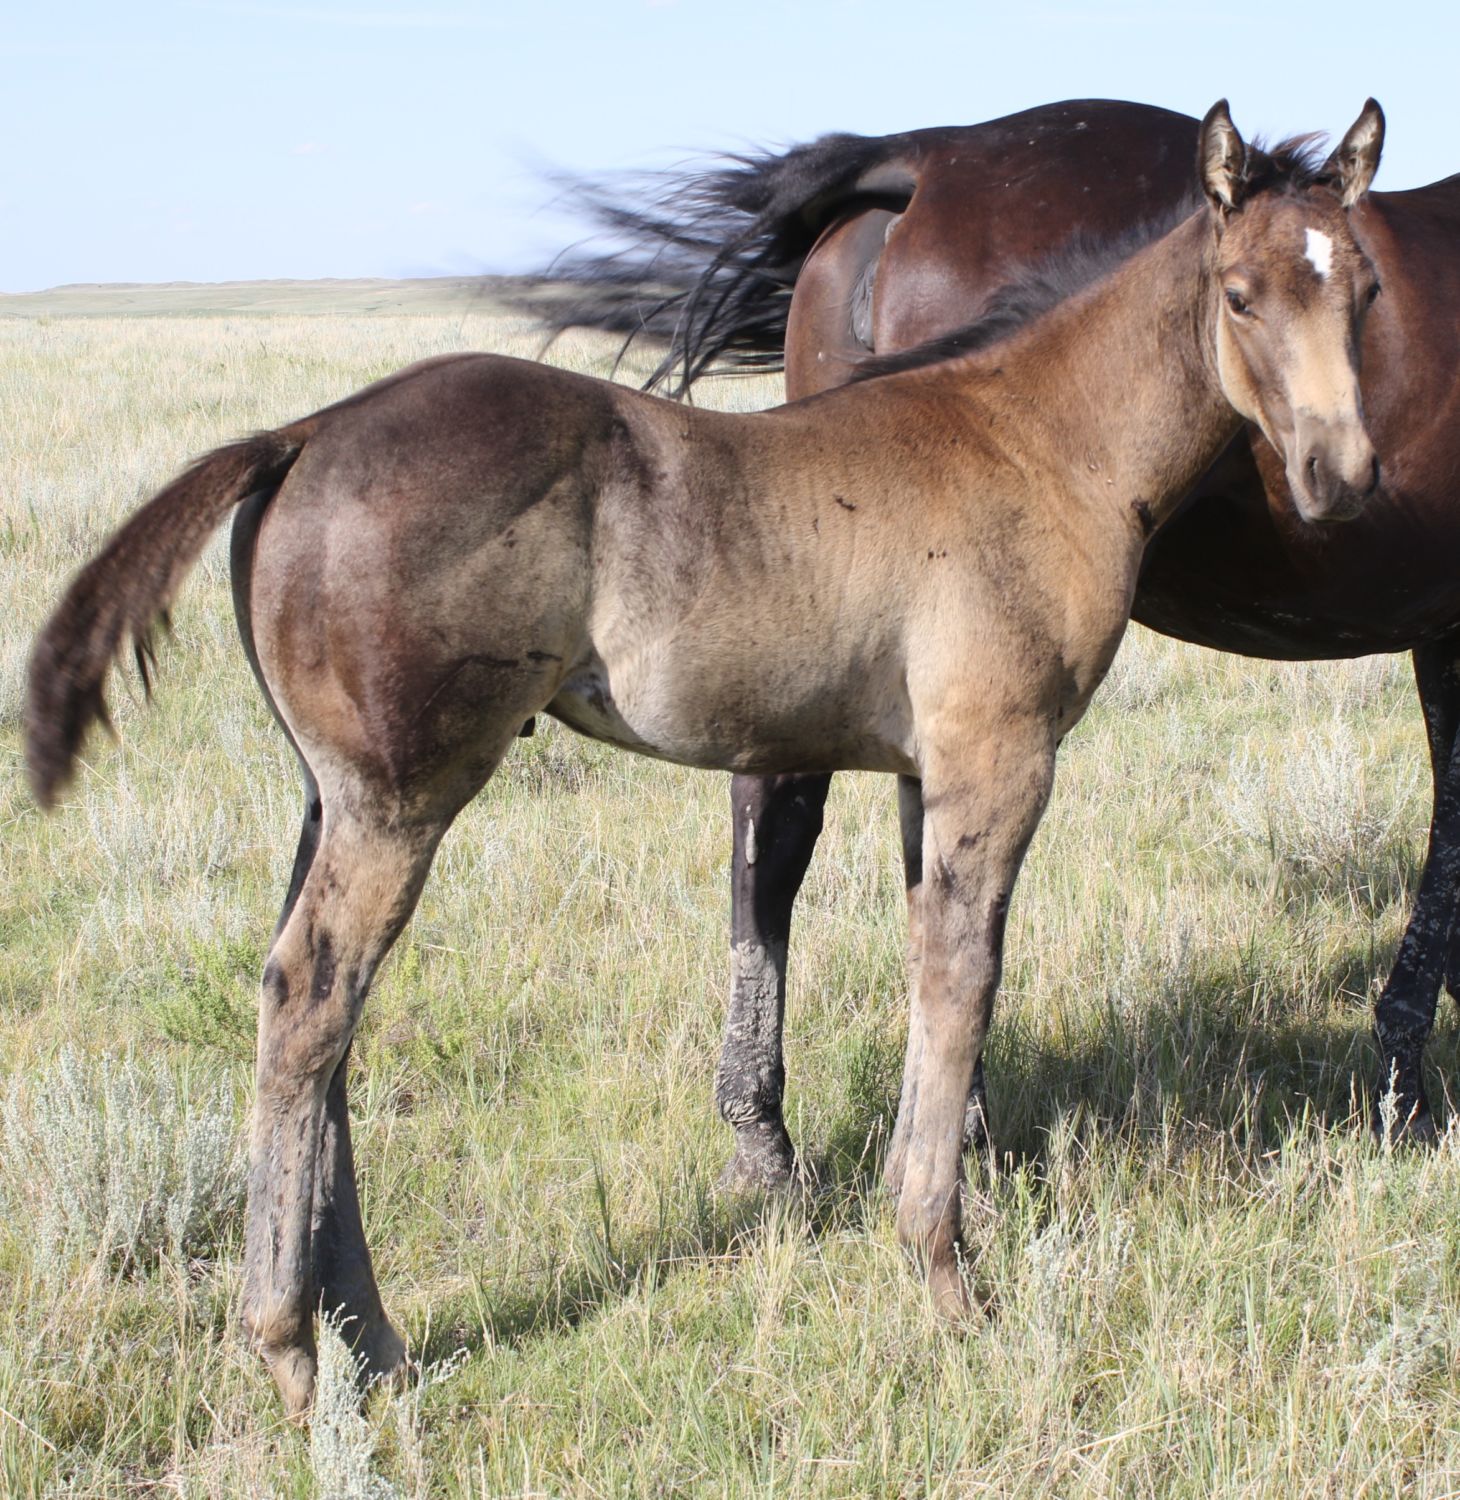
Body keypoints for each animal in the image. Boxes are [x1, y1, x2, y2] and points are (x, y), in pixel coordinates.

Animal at [540, 99, 1458, 1188]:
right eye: (1236, 299)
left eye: (1370, 292)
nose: (1339, 474)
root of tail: (914, 158)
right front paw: (1403, 1085)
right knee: (793, 834)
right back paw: (809, 1135)